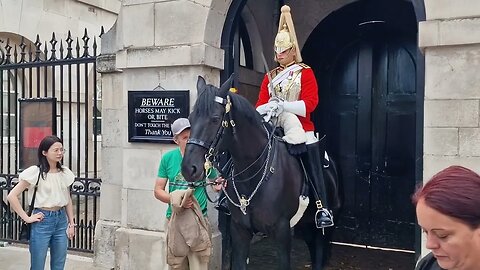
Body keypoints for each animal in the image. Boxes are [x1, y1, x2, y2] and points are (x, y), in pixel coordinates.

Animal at [181, 76, 342, 270]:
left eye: (215, 119)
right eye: (191, 118)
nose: (189, 168)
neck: (253, 175)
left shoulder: (282, 232)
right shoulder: (240, 231)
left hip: (323, 228)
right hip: (306, 226)